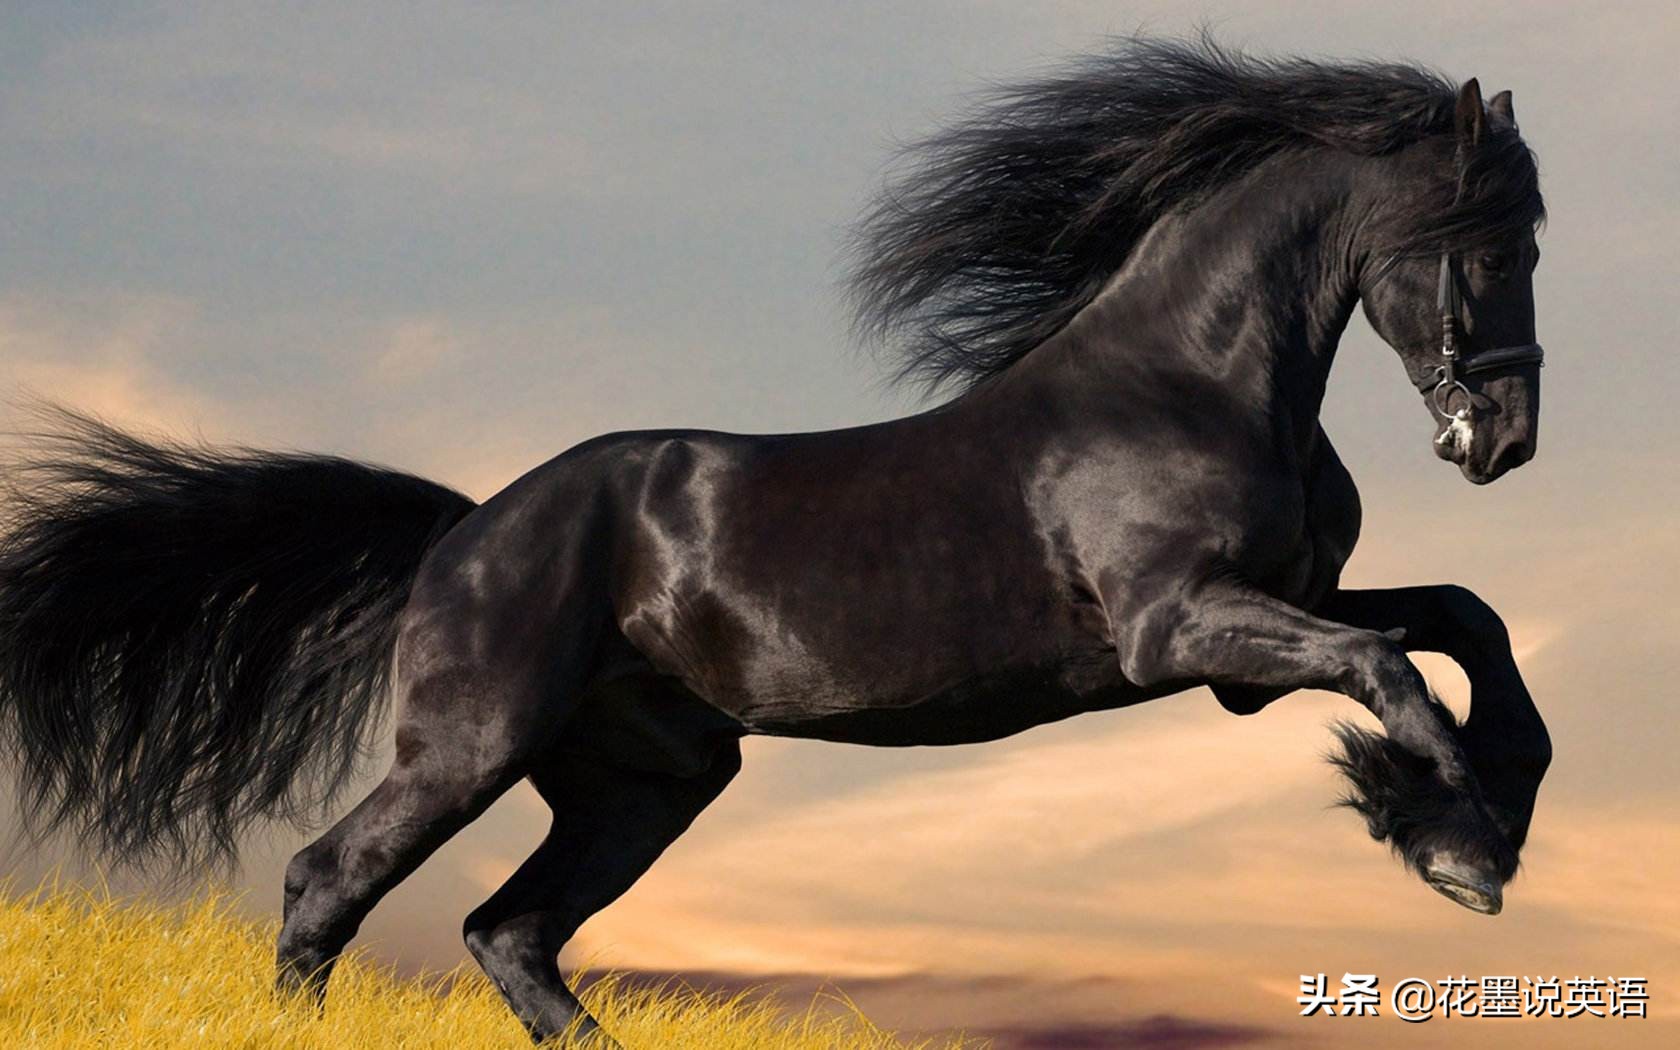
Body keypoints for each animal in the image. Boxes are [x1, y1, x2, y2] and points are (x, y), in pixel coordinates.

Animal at [0, 38, 1552, 1046]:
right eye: (1491, 245)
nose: (1505, 440)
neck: (1188, 380)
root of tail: (466, 530)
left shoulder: (1264, 627)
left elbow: (1463, 623)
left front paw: (1474, 815)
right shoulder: (1182, 631)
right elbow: (1394, 670)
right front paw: (1457, 847)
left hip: (647, 779)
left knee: (510, 931)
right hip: (473, 744)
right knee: (334, 880)